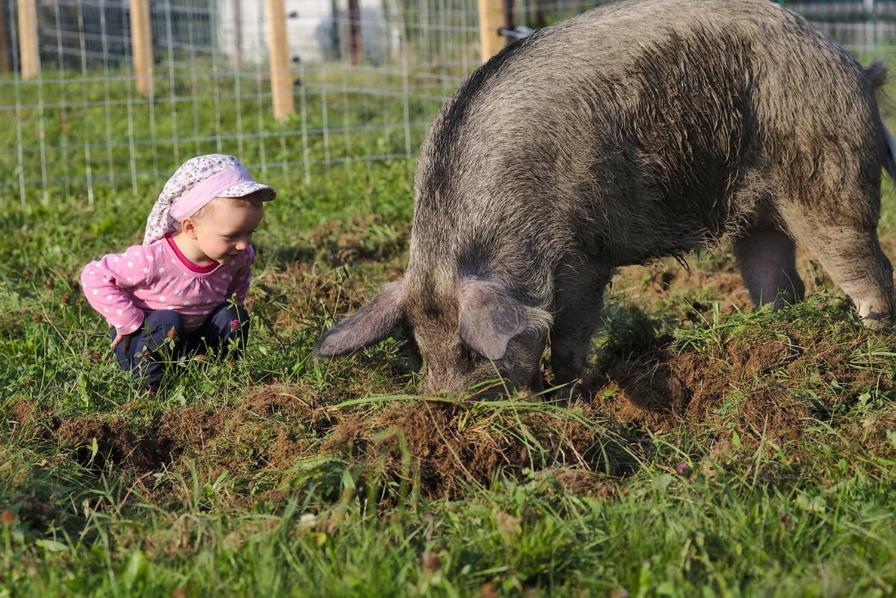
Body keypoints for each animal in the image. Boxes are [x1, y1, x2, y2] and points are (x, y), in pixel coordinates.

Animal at [310, 0, 896, 396]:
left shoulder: (583, 255)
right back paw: (770, 335)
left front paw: (568, 396)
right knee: (780, 277)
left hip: (829, 178)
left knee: (868, 267)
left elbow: (572, 332)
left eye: (471, 350)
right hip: (760, 212)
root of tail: (855, 67)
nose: (444, 408)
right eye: (414, 346)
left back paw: (871, 339)